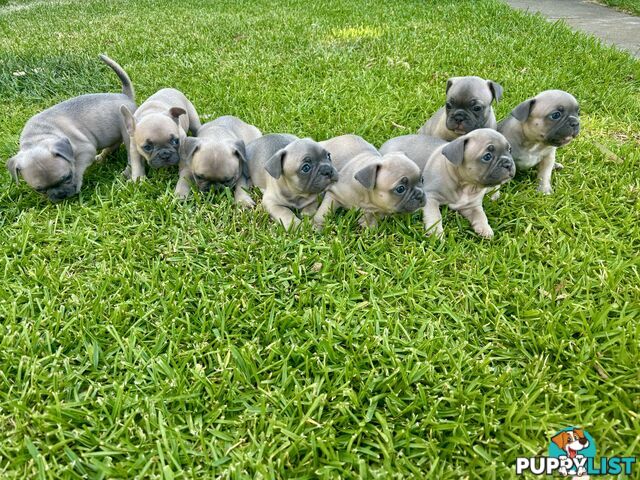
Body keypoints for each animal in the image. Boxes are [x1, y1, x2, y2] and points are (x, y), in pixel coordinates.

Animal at [5, 54, 136, 201]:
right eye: (40, 190)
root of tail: (125, 95)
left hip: (127, 133)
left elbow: (77, 167)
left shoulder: (85, 150)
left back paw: (126, 172)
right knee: (113, 145)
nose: (60, 196)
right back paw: (102, 157)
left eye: (67, 177)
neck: (39, 136)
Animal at [384, 129, 516, 238]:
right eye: (487, 156)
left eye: (510, 150)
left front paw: (485, 228)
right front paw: (436, 232)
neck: (467, 186)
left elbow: (480, 215)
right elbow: (435, 216)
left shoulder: (472, 206)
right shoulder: (431, 197)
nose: (508, 163)